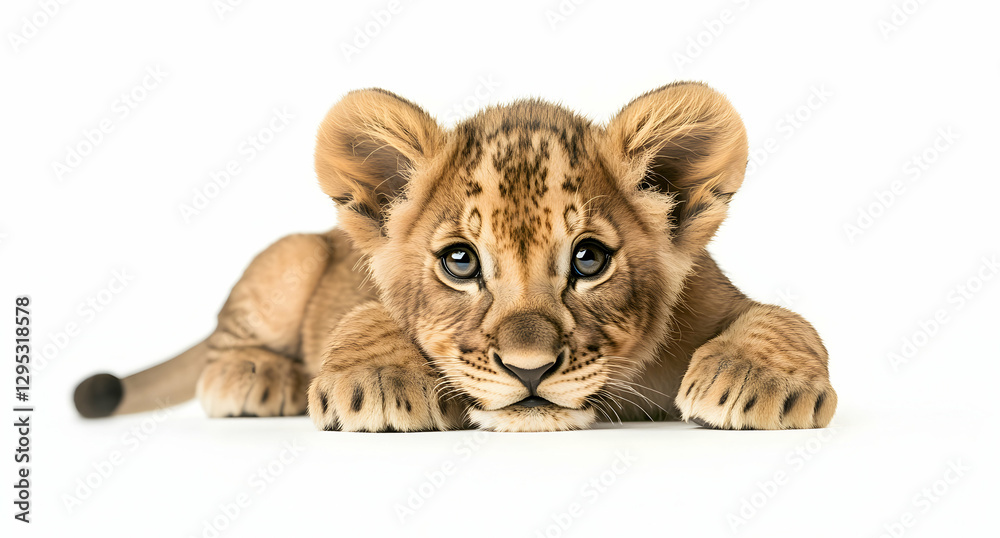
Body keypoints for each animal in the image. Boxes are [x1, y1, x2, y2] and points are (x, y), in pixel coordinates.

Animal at [73, 82, 837, 432]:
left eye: (589, 260)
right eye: (461, 263)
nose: (529, 370)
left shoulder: (719, 297)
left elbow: (784, 319)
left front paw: (756, 382)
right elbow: (368, 318)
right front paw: (377, 383)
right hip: (289, 257)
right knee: (223, 345)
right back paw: (257, 376)